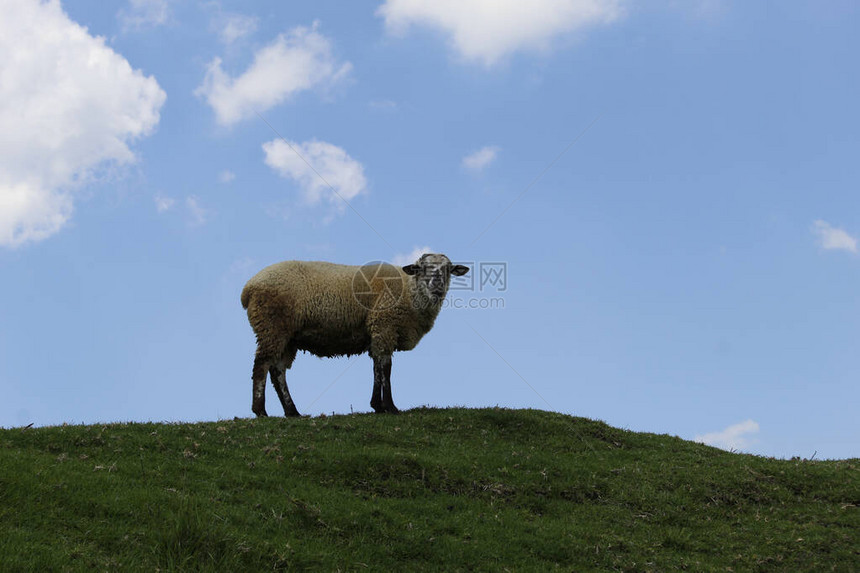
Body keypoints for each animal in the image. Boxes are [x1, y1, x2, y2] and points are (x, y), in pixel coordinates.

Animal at [240, 255, 470, 416]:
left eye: (449, 269)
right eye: (422, 268)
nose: (437, 284)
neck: (409, 291)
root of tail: (249, 287)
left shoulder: (376, 332)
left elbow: (377, 368)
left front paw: (377, 405)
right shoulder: (384, 326)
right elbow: (386, 368)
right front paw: (390, 407)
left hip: (287, 336)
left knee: (278, 371)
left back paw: (292, 412)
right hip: (272, 326)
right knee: (261, 365)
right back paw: (260, 411)